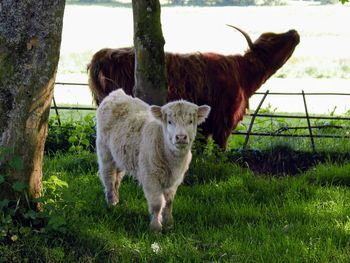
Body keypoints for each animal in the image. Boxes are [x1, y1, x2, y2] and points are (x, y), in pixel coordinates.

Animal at [95, 89, 211, 232]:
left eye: (190, 121)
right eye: (170, 122)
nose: (181, 137)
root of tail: (116, 93)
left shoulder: (175, 180)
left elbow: (169, 202)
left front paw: (169, 223)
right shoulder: (150, 177)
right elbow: (157, 204)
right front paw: (155, 227)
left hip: (120, 156)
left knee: (117, 178)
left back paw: (116, 200)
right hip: (105, 152)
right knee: (108, 177)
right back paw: (111, 204)